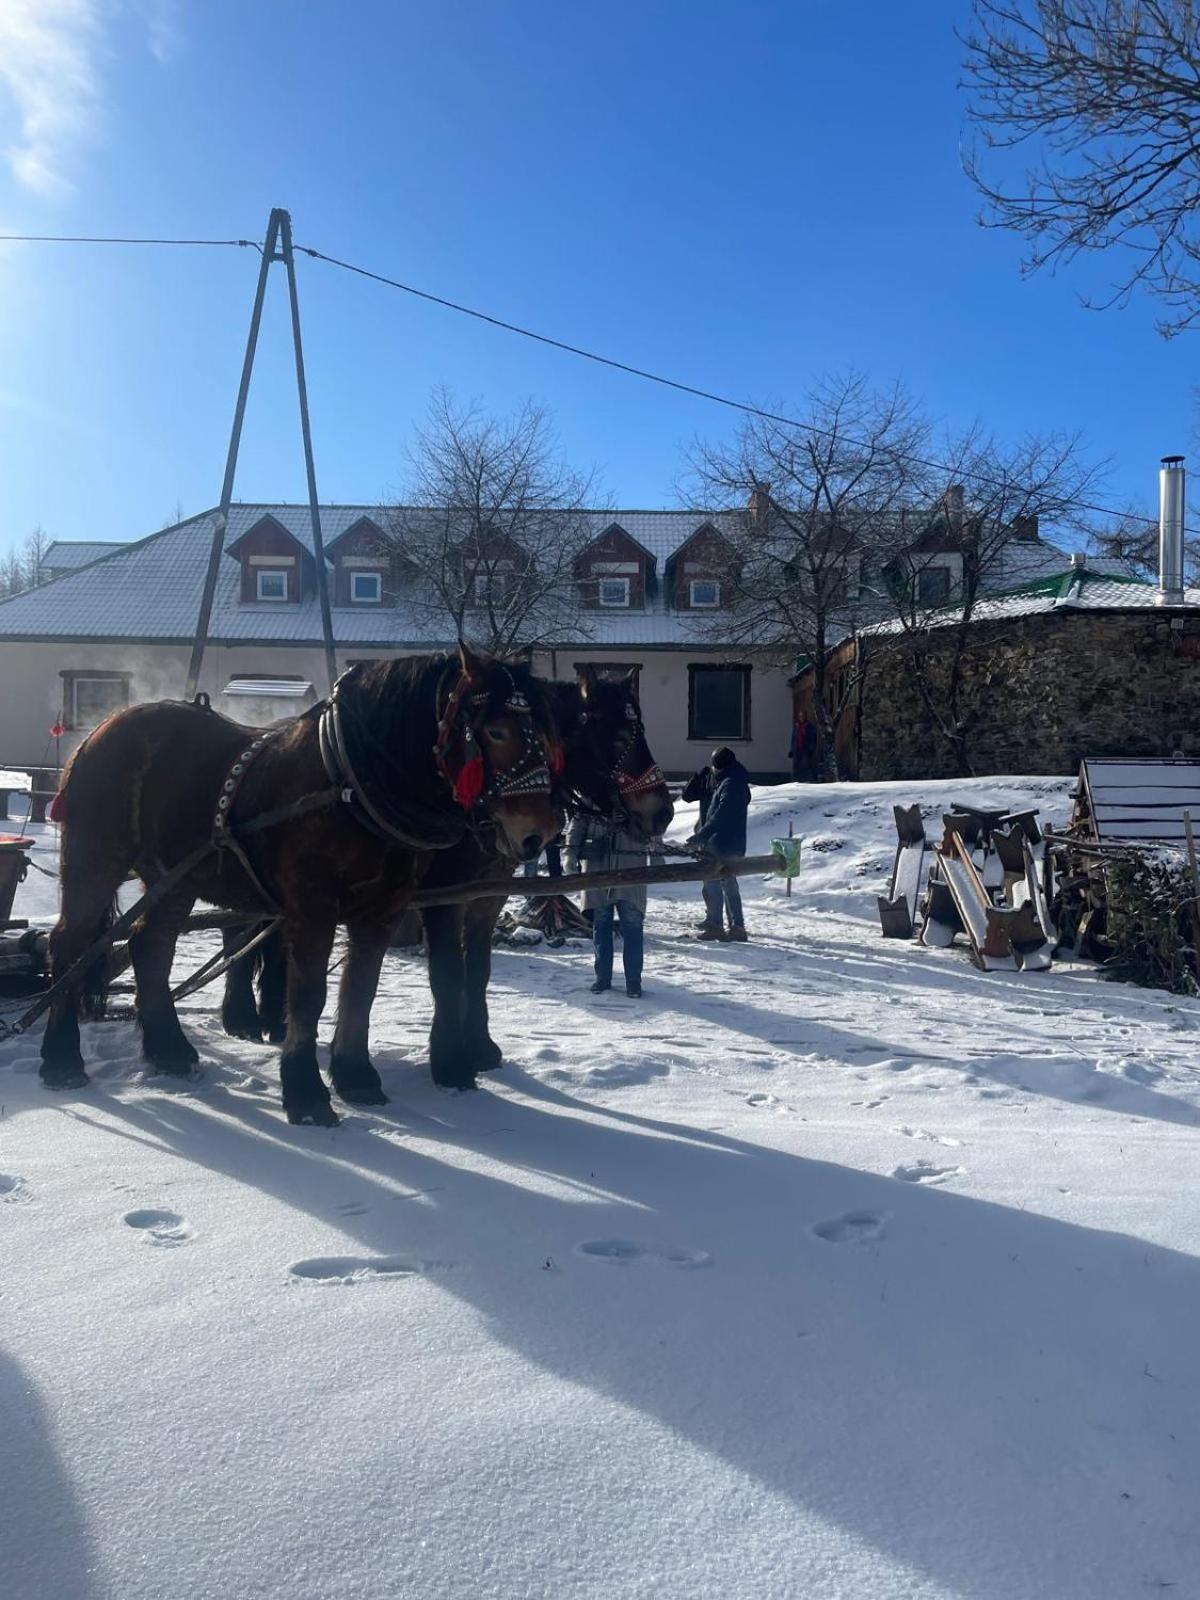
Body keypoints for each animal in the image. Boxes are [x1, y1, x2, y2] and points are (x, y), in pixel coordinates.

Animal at [40, 649, 563, 1126]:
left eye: (544, 733)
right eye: (496, 731)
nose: (540, 831)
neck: (350, 780)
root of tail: (101, 729)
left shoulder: (383, 910)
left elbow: (362, 989)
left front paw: (356, 1076)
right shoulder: (314, 909)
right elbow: (310, 996)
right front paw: (307, 1093)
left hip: (174, 877)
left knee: (151, 945)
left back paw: (168, 1050)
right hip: (94, 861)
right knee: (69, 944)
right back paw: (62, 1059)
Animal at [225, 668, 678, 1094]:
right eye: (617, 737)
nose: (662, 812)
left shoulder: (487, 897)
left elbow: (477, 969)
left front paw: (479, 1045)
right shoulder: (445, 896)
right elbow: (447, 971)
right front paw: (449, 1059)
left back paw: (273, 1019)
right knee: (240, 933)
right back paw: (242, 1016)